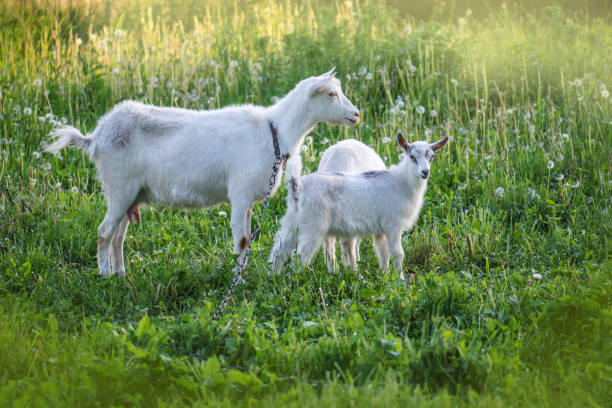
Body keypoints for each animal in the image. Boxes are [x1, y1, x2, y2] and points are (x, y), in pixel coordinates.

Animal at [45, 69, 360, 278]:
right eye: (332, 94)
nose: (357, 114)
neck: (276, 130)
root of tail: (95, 137)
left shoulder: (248, 200)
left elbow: (248, 239)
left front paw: (243, 274)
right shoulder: (240, 193)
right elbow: (242, 240)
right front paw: (239, 280)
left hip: (129, 195)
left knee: (118, 236)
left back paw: (121, 275)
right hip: (118, 187)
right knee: (103, 233)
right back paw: (104, 275)